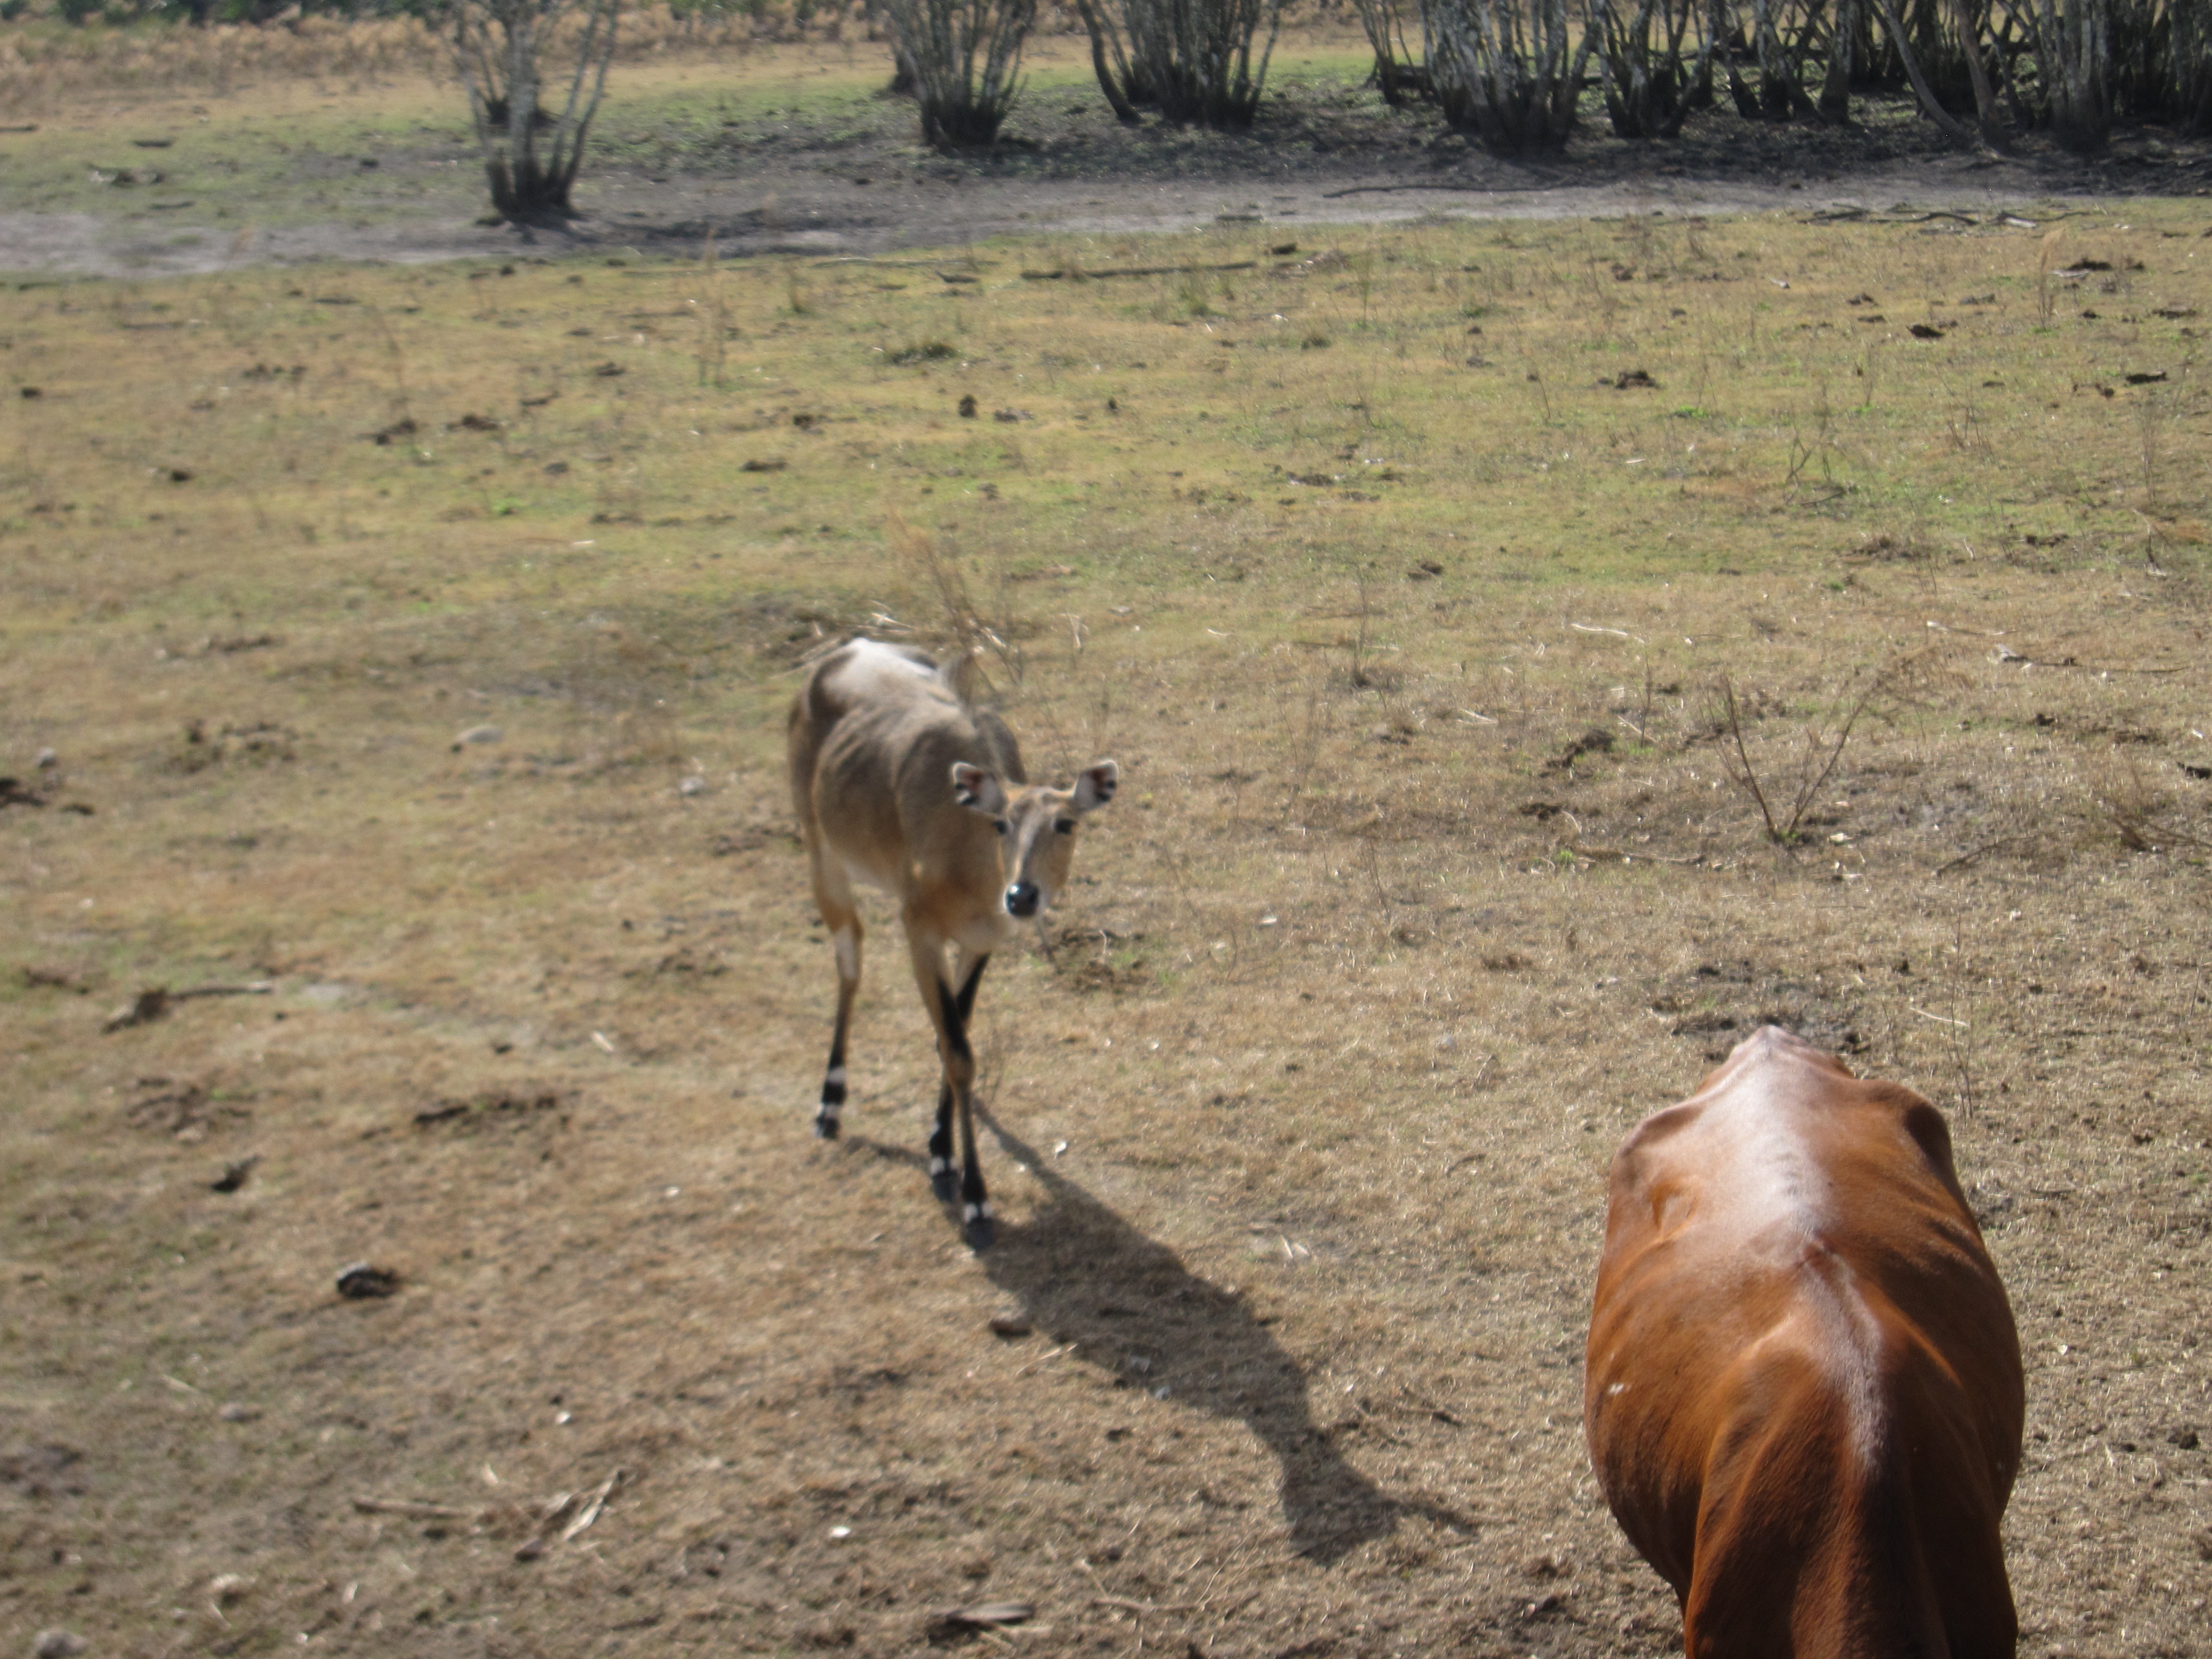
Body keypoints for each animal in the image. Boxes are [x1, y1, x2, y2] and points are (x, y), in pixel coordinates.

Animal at [787, 637, 1117, 1250]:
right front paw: (976, 1201)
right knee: (850, 959)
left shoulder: (979, 941)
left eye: (1065, 824)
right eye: (1002, 823)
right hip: (820, 849)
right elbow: (959, 1051)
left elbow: (954, 1034)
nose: (1022, 896)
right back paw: (830, 1104)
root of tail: (848, 650)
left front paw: (941, 1154)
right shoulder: (920, 927)